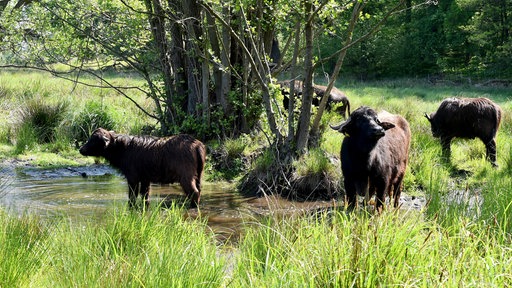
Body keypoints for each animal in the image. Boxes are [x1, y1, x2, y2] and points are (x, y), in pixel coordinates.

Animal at [78, 127, 206, 207]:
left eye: (93, 140)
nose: (81, 149)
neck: (122, 149)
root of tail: (197, 144)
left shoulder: (132, 178)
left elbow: (132, 197)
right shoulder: (145, 178)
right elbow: (145, 196)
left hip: (186, 177)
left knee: (194, 192)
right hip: (199, 175)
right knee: (199, 190)